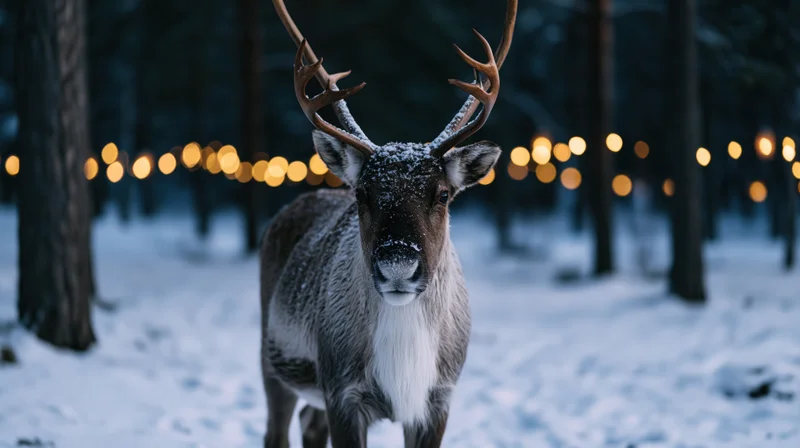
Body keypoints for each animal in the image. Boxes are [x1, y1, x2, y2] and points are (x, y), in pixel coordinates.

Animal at [260, 1, 517, 447]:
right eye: (362, 194)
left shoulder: (437, 399)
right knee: (275, 432)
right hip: (272, 361)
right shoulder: (343, 393)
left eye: (443, 194)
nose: (398, 266)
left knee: (309, 426)